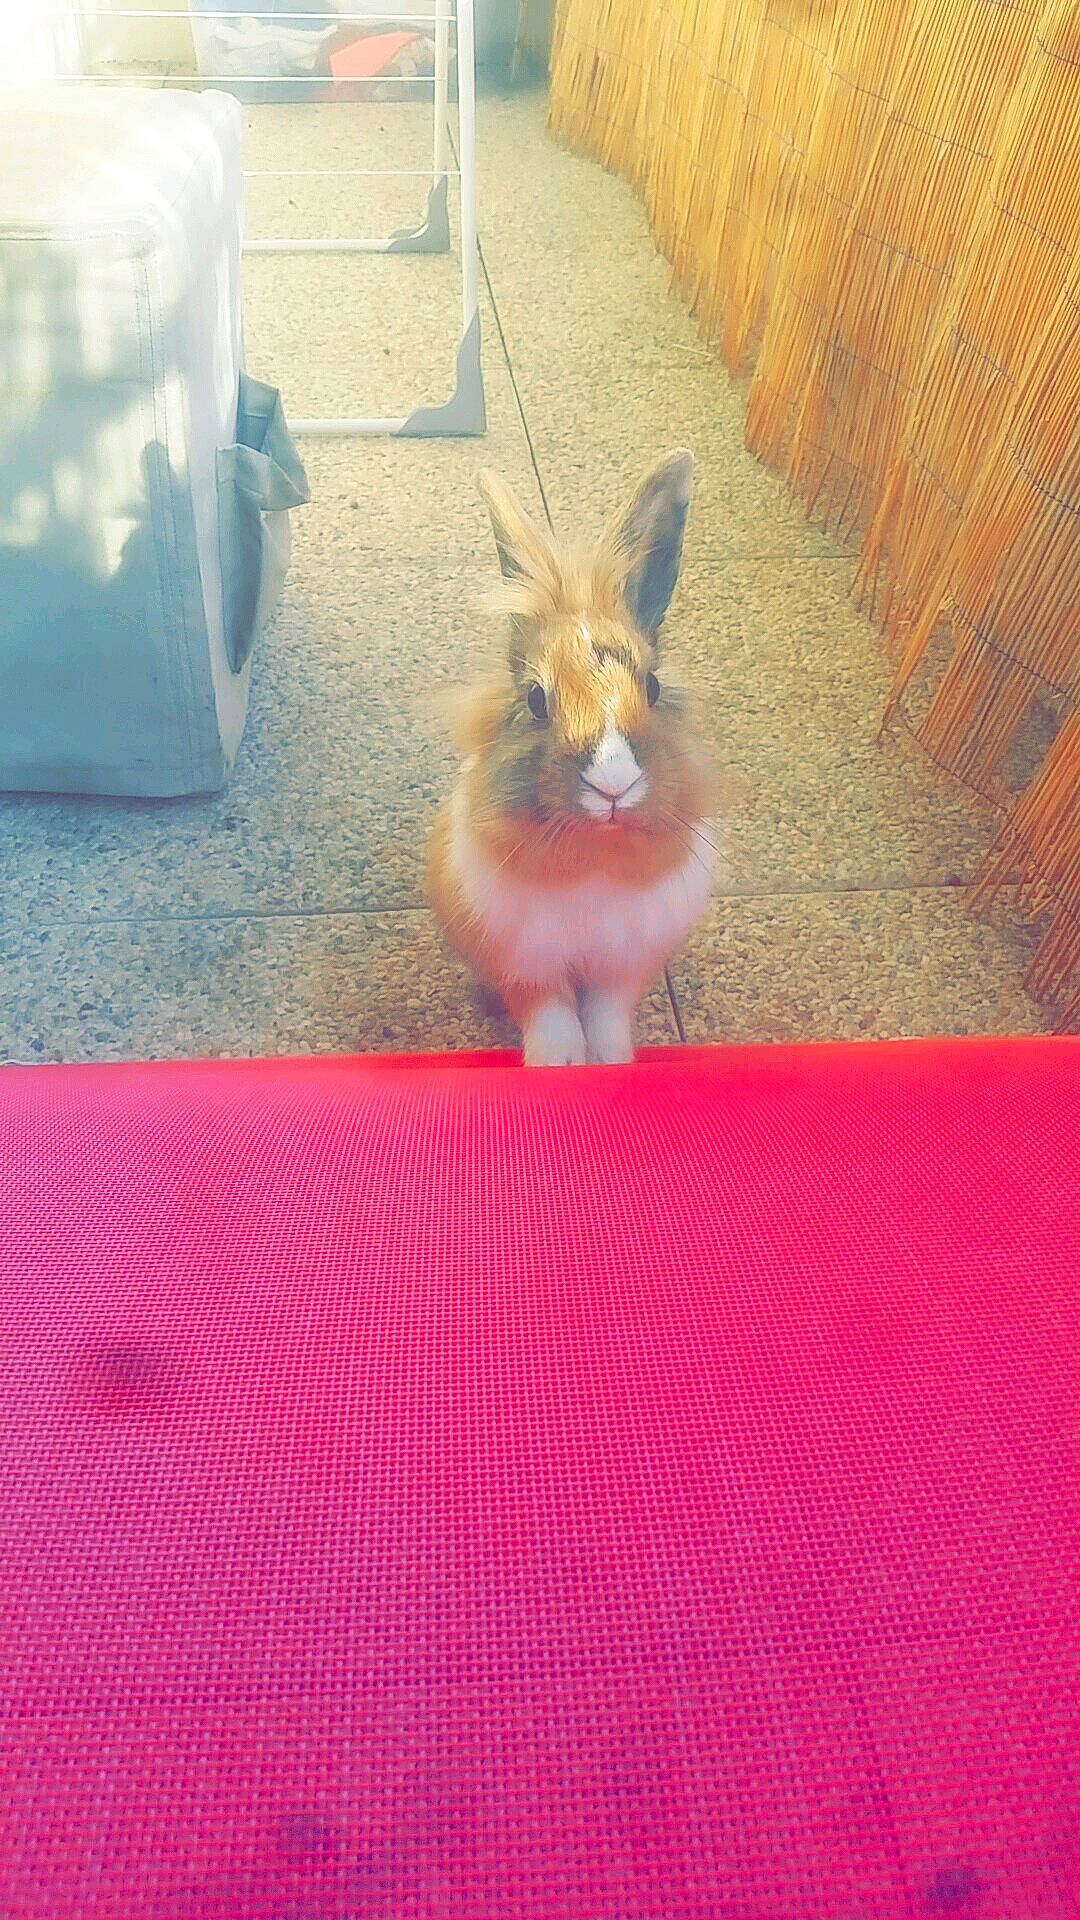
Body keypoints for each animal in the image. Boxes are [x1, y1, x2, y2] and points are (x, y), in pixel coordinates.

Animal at [426, 450, 719, 1067]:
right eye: (537, 700)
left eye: (653, 687)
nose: (613, 786)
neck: (593, 856)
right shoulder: (526, 962)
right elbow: (552, 1015)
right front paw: (557, 1065)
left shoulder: (621, 966)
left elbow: (605, 1018)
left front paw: (609, 1063)